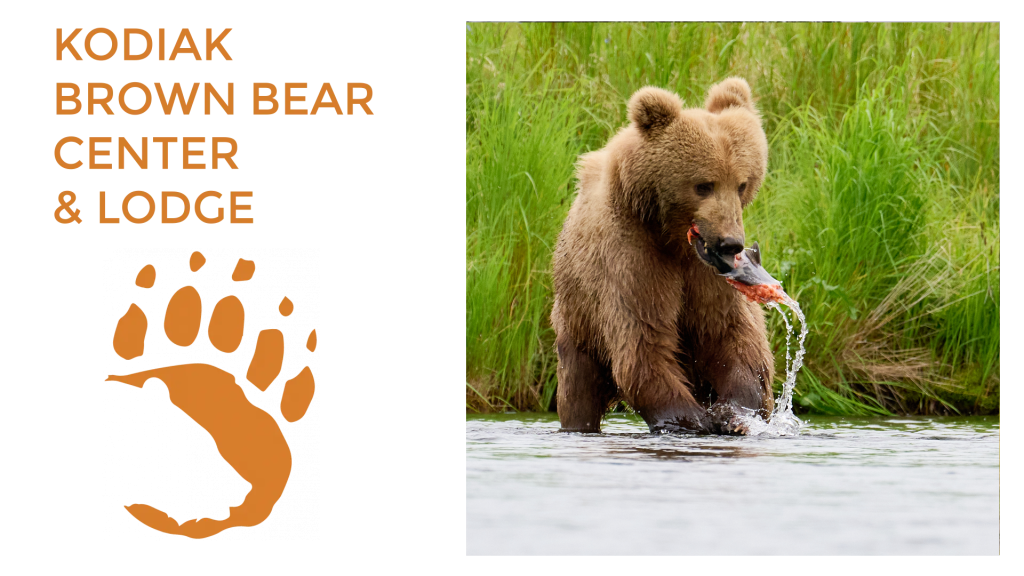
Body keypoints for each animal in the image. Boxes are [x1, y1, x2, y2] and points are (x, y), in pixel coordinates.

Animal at [550, 77, 774, 435]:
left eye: (742, 184)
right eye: (704, 185)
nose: (731, 243)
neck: (672, 239)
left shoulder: (707, 276)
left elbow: (732, 335)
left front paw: (733, 413)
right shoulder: (631, 258)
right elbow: (644, 342)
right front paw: (695, 420)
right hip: (579, 322)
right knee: (578, 391)